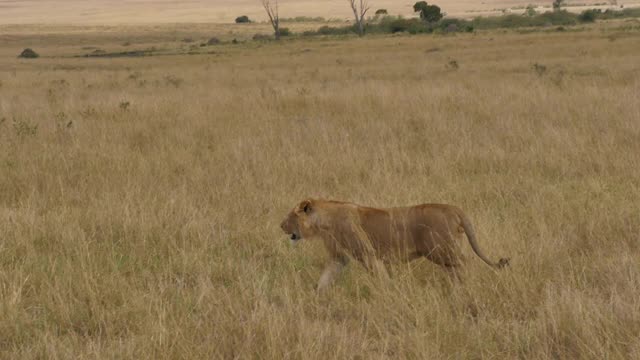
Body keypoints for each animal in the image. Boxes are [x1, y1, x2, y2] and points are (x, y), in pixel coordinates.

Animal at [280, 198, 510, 292]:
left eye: (291, 215)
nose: (280, 225)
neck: (324, 223)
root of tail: (453, 208)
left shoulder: (367, 253)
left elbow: (379, 275)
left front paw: (388, 291)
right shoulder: (339, 257)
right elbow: (325, 278)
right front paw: (316, 295)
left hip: (441, 250)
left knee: (465, 262)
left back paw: (467, 285)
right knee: (457, 267)